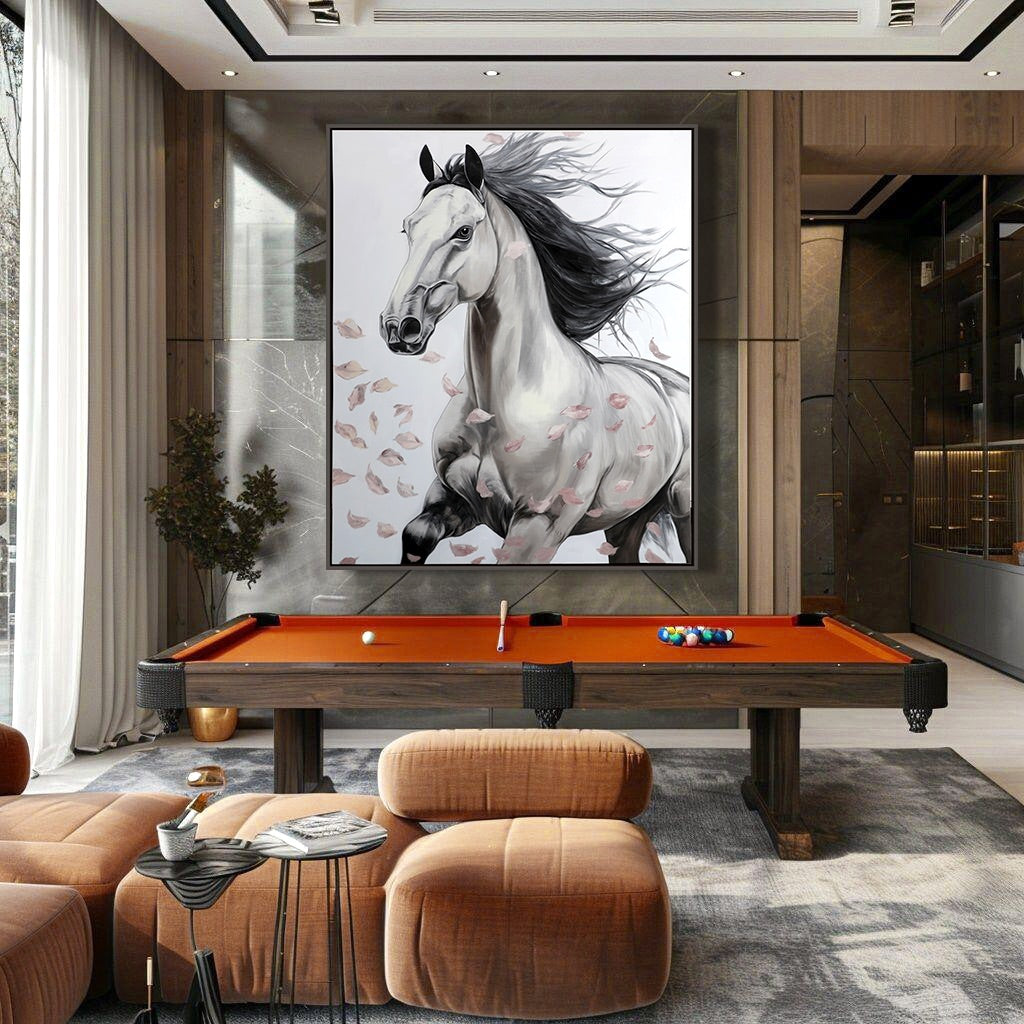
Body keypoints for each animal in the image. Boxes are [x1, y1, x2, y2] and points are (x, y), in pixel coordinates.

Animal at [378, 132, 692, 566]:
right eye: (407, 228)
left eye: (463, 231)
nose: (399, 326)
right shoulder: (452, 501)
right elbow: (415, 536)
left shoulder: (538, 527)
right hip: (626, 519)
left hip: (685, 510)